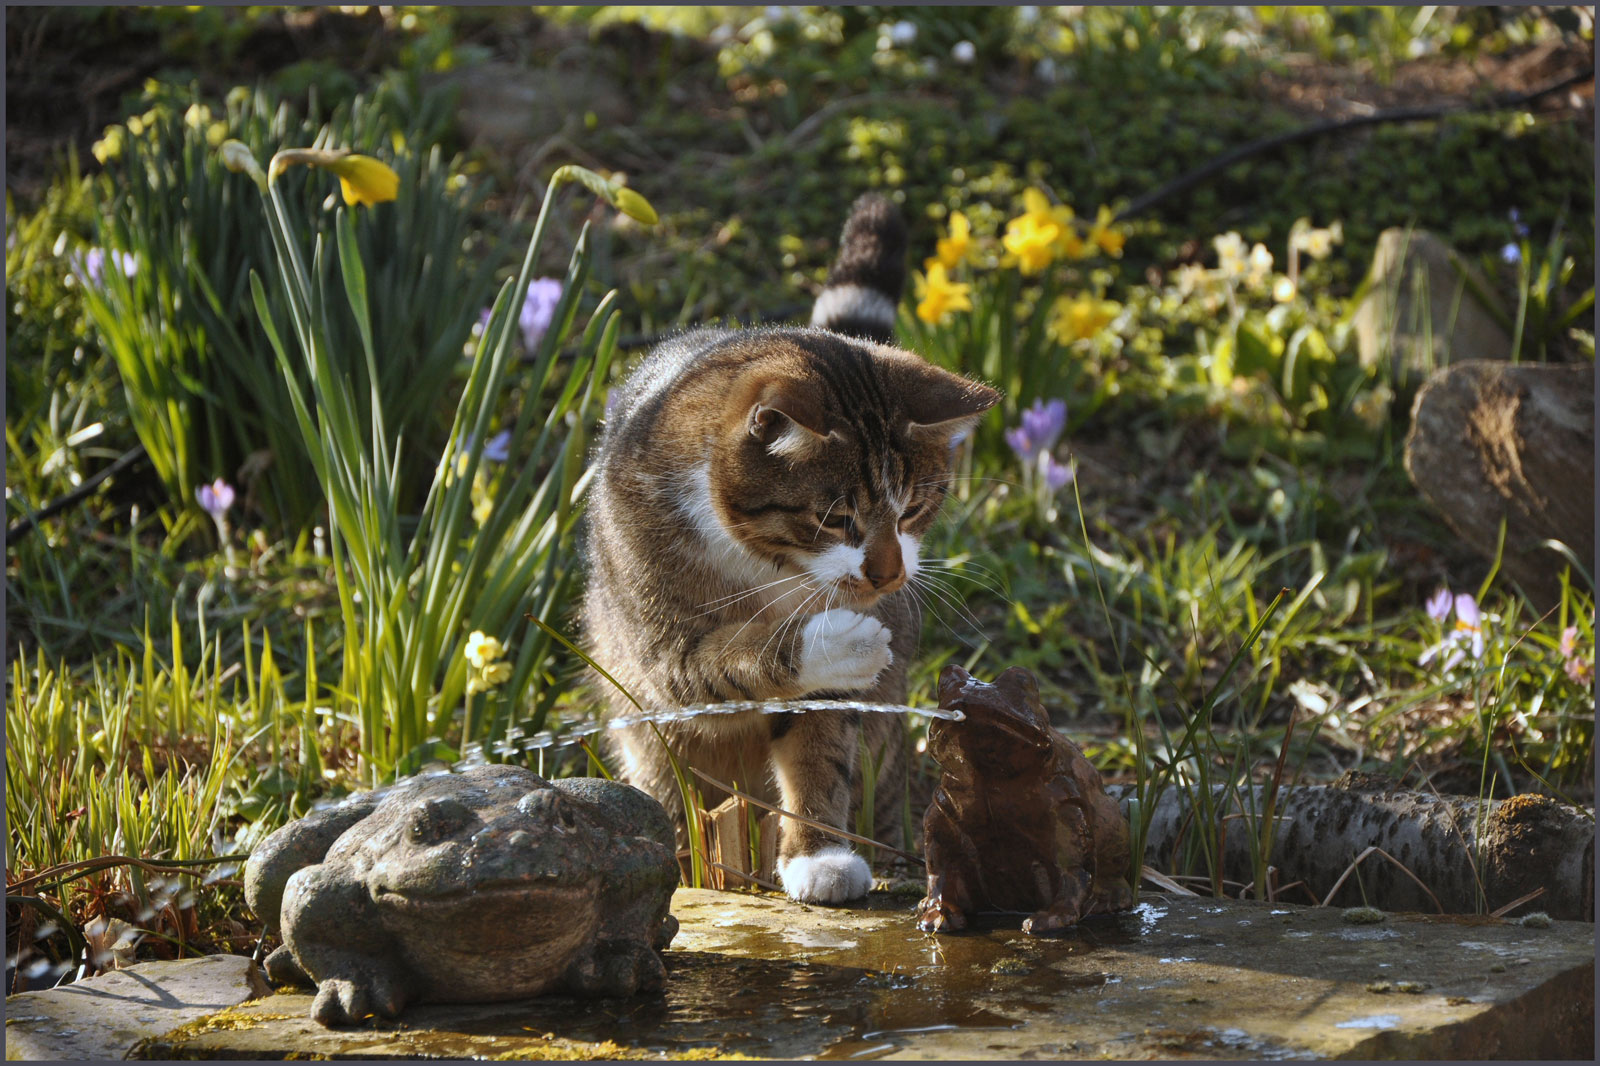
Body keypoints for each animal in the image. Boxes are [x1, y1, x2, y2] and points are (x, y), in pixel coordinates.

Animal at [582, 195, 992, 902]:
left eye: (913, 509)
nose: (888, 578)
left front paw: (819, 855)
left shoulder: (836, 697)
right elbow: (727, 662)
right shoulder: (660, 655)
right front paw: (836, 641)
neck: (767, 565)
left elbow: (818, 748)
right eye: (836, 520)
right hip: (646, 738)